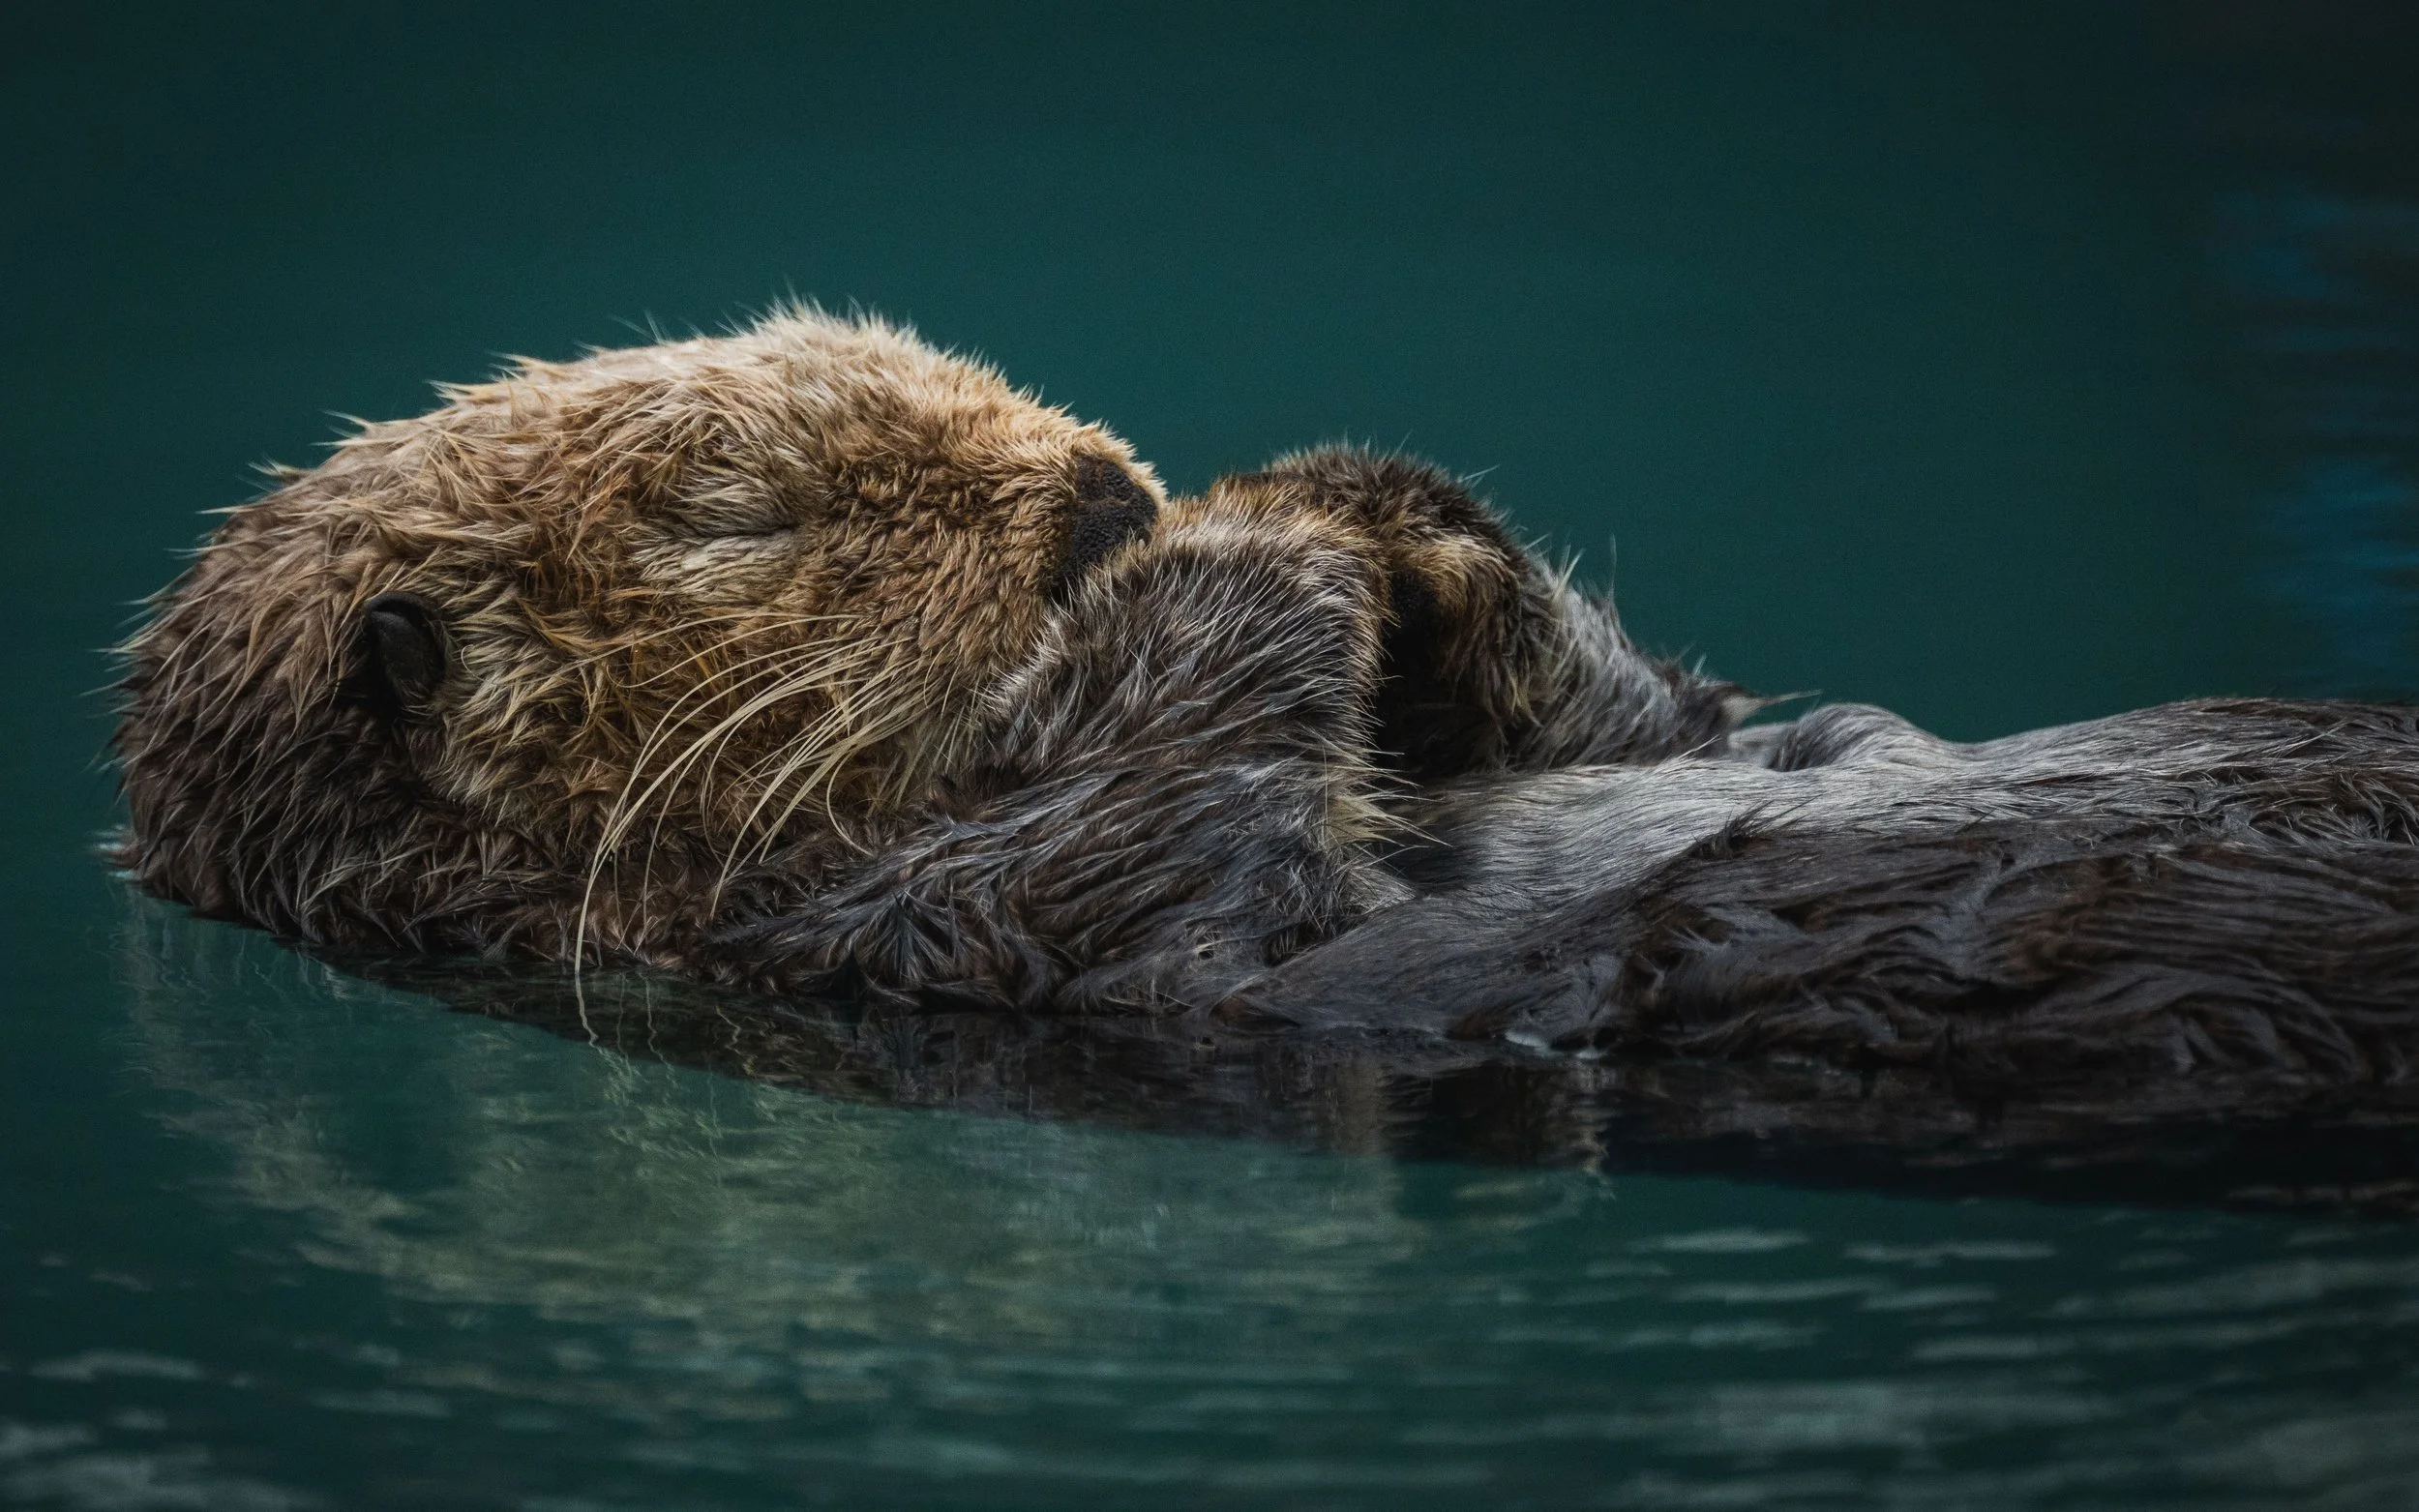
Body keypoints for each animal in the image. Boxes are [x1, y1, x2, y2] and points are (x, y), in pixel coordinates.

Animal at [114, 309, 2419, 1100]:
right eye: (741, 508)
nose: (1098, 488)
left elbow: (1654, 730)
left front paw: (1389, 516)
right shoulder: (921, 928)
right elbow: (1195, 847)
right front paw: (1243, 539)